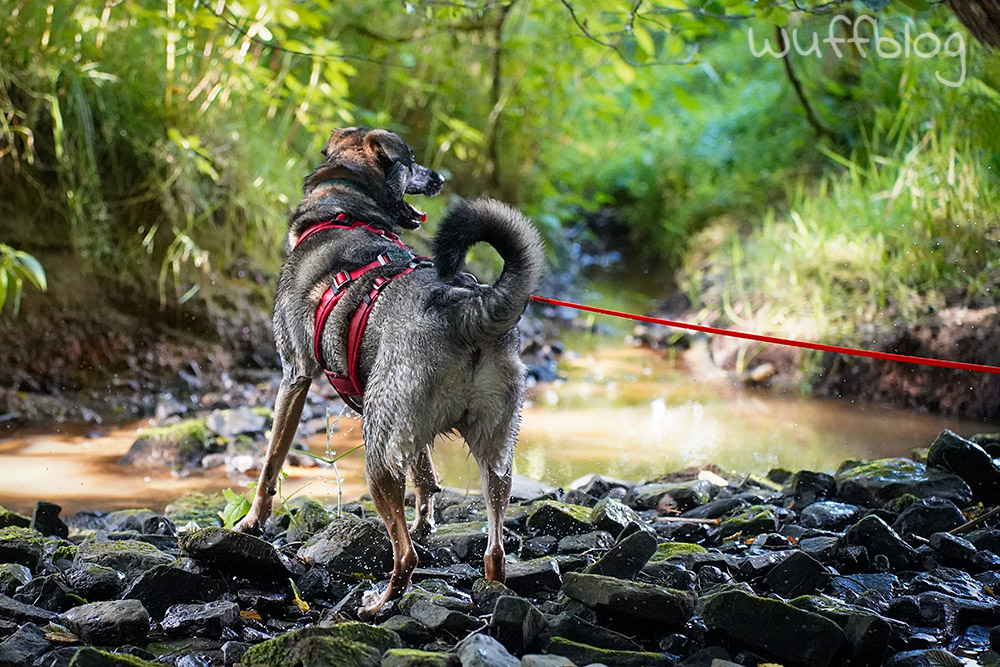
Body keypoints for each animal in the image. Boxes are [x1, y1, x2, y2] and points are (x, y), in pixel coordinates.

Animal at [233, 128, 544, 620]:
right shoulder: (412, 437)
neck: (342, 212)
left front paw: (251, 521)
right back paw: (490, 590)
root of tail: (463, 310)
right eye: (411, 160)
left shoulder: (295, 376)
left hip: (376, 451)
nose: (438, 178)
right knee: (494, 549)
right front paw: (425, 520)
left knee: (406, 557)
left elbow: (271, 461)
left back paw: (378, 604)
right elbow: (425, 475)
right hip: (495, 451)